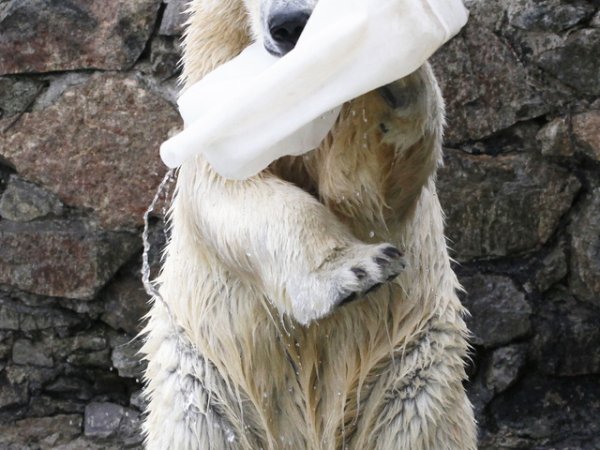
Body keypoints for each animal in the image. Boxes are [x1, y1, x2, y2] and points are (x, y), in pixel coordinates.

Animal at [139, 0, 474, 448]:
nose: (290, 25)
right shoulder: (216, 56)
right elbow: (229, 187)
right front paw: (357, 270)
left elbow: (365, 190)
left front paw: (396, 66)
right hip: (204, 383)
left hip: (411, 371)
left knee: (415, 424)